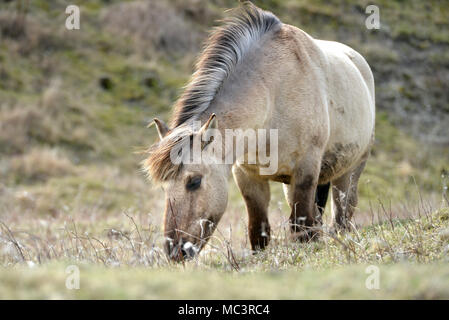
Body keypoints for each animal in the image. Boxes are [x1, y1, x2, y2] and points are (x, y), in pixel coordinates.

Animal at [143, 1, 374, 260]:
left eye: (194, 181)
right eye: (164, 186)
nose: (175, 250)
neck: (274, 97)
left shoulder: (306, 170)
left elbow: (302, 227)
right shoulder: (248, 177)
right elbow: (259, 231)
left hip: (350, 171)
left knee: (342, 217)